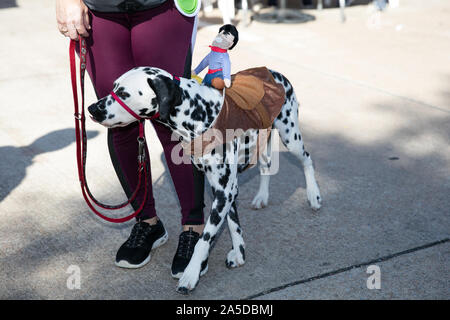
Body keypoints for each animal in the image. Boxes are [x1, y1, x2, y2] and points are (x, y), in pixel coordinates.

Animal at [87, 66, 320, 294]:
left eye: (124, 93)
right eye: (114, 87)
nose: (91, 108)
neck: (198, 113)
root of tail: (275, 73)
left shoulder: (224, 192)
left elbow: (204, 239)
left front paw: (190, 274)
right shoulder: (226, 190)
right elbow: (233, 224)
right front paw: (239, 253)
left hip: (290, 137)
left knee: (307, 159)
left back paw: (314, 196)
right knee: (266, 165)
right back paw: (262, 197)